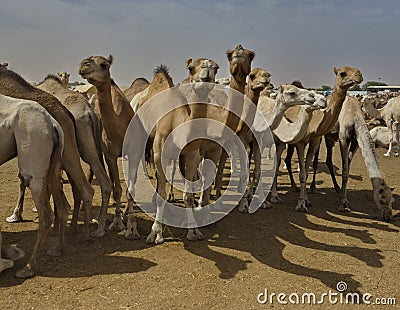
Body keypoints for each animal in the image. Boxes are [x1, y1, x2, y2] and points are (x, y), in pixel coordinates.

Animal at [79, 55, 140, 240]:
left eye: (104, 64)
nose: (84, 65)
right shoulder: (111, 155)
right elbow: (118, 189)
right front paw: (117, 222)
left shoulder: (133, 154)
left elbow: (130, 189)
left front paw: (132, 228)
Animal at [282, 65, 364, 211]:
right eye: (342, 73)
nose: (359, 75)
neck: (315, 121)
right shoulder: (301, 142)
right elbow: (302, 173)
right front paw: (300, 204)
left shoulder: (315, 140)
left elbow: (306, 172)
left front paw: (306, 200)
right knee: (285, 158)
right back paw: (291, 187)